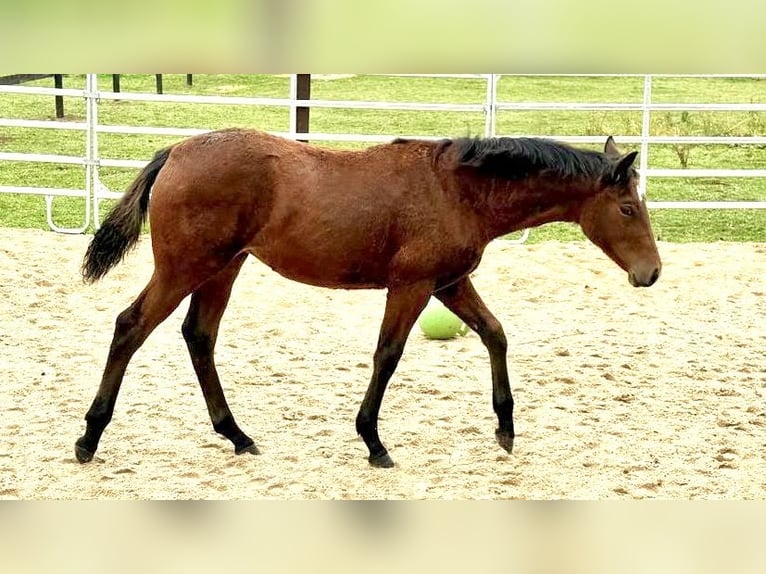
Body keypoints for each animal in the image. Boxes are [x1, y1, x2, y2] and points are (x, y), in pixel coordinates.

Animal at [74, 129, 661, 468]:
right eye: (628, 208)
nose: (651, 273)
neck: (456, 191)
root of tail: (176, 151)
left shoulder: (449, 283)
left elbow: (495, 333)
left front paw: (505, 428)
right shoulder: (413, 286)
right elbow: (388, 354)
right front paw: (373, 442)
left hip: (224, 268)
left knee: (199, 335)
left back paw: (236, 435)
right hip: (185, 267)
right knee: (130, 326)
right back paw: (89, 438)